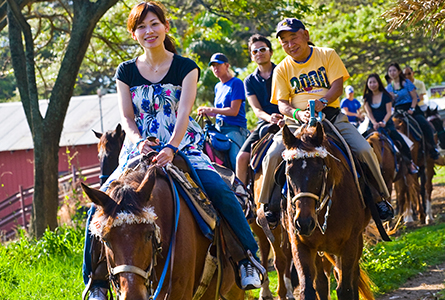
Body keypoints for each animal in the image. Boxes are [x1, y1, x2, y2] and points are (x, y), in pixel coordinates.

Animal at [280, 122, 374, 300]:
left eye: (318, 171)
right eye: (288, 173)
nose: (303, 223)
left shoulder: (350, 244)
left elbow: (346, 289)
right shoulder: (300, 244)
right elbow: (308, 290)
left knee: (352, 277)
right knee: (321, 283)